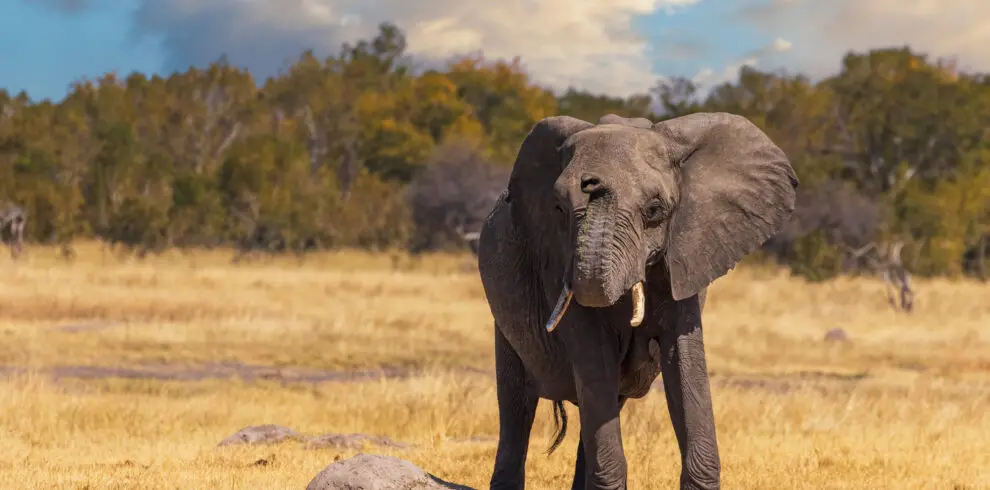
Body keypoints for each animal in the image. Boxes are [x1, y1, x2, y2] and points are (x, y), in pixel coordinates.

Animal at [475, 112, 798, 490]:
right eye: (558, 209)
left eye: (654, 210)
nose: (593, 183)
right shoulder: (557, 259)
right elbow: (593, 355)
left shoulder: (685, 257)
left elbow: (684, 361)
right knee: (518, 404)